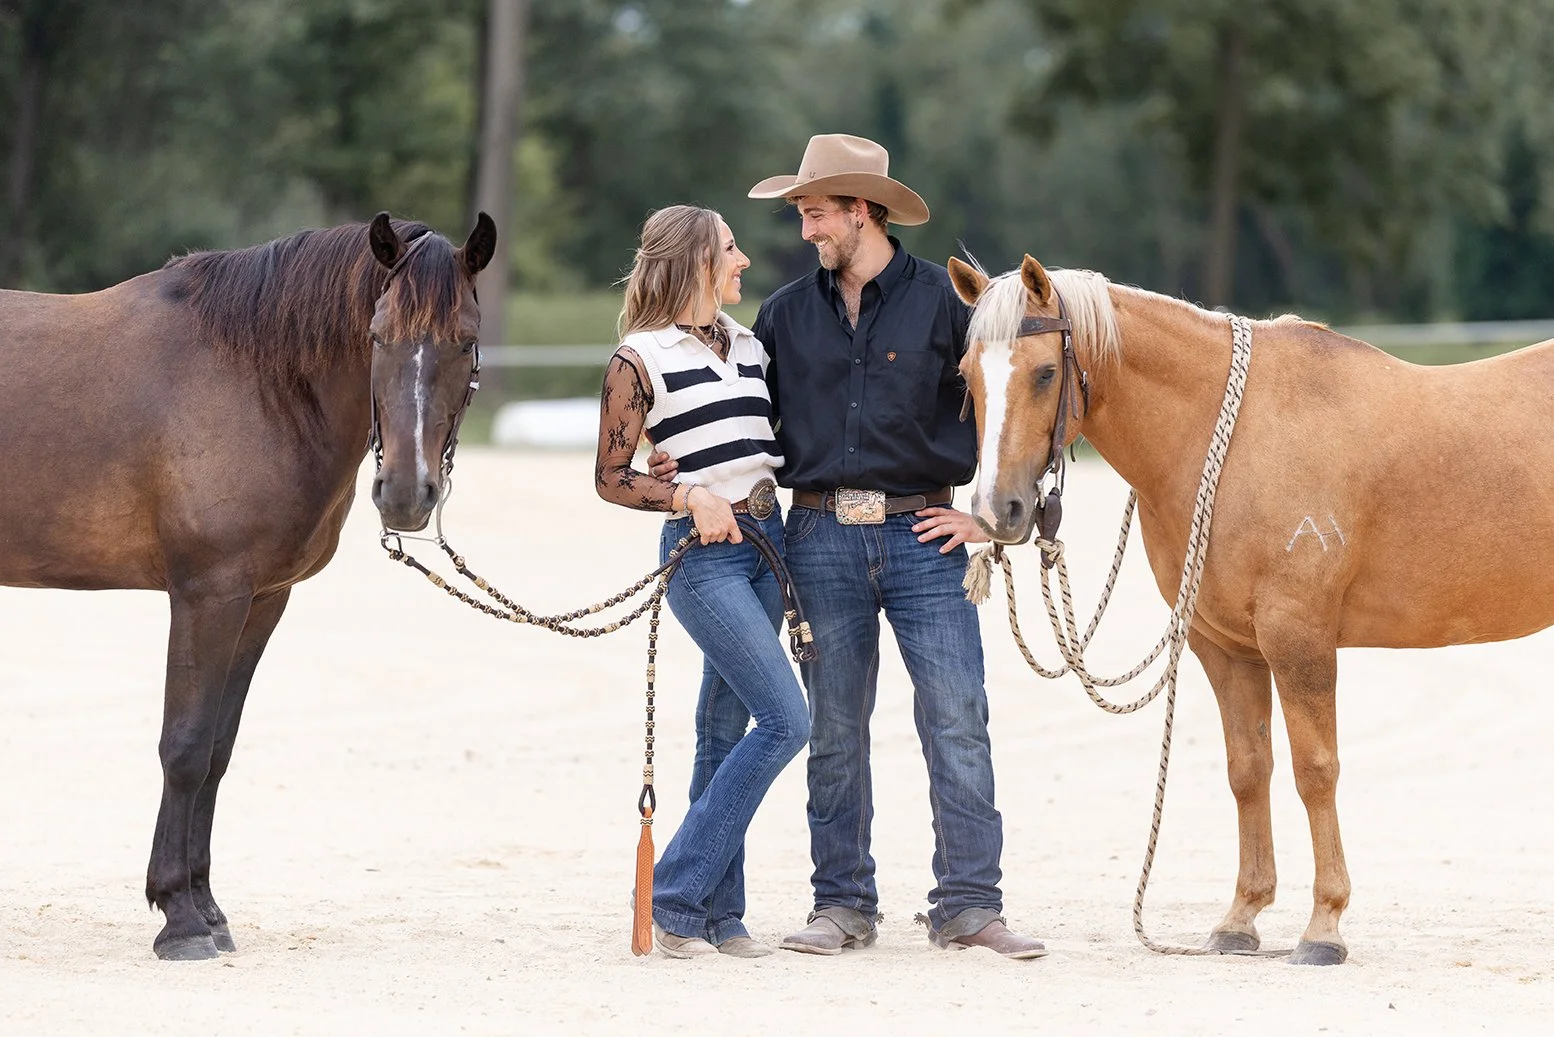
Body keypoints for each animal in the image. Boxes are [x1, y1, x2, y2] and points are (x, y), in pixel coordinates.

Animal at [0, 211, 496, 959]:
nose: (406, 496)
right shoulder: (209, 594)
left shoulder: (262, 599)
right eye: (379, 336)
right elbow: (183, 746)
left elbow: (216, 750)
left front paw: (208, 910)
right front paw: (178, 919)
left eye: (464, 341)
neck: (254, 378)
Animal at [947, 253, 1554, 966]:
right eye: (966, 375)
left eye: (1044, 371)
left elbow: (1315, 771)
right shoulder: (1225, 646)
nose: (998, 511)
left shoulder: (1299, 639)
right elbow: (1248, 769)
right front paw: (1241, 919)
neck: (1239, 436)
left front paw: (1324, 927)